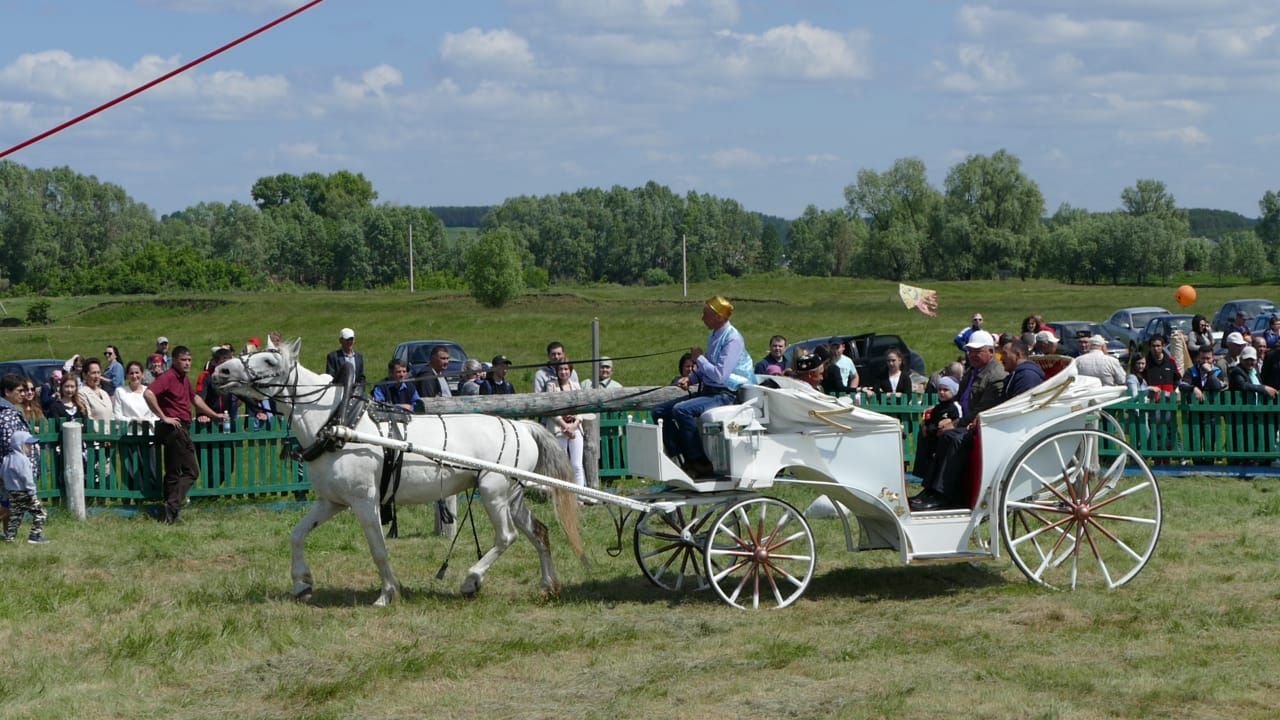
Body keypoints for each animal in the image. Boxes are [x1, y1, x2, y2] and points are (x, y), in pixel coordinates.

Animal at [213, 338, 586, 602]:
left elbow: (378, 548)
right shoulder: (331, 502)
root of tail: (521, 426)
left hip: (493, 492)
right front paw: (302, 584)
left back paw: (471, 580)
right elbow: (297, 535)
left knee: (507, 536)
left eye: (269, 360)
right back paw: (548, 585)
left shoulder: (365, 501)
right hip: (513, 496)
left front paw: (388, 592)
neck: (337, 422)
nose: (221, 372)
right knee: (539, 532)